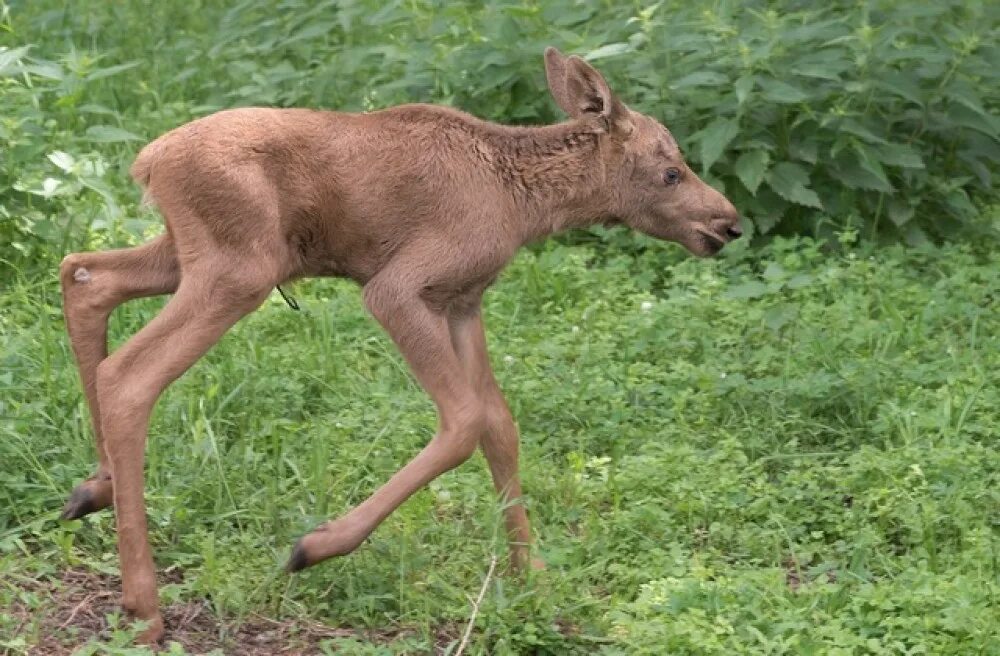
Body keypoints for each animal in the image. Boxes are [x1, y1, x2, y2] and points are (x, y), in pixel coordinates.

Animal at [58, 48, 740, 644]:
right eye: (671, 171)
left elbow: (500, 426)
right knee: (129, 372)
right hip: (239, 269)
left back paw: (96, 487)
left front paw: (531, 578)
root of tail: (148, 160)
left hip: (188, 255)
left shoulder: (463, 301)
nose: (728, 223)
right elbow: (464, 421)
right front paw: (315, 545)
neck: (523, 202)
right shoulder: (397, 290)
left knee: (85, 274)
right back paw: (143, 605)